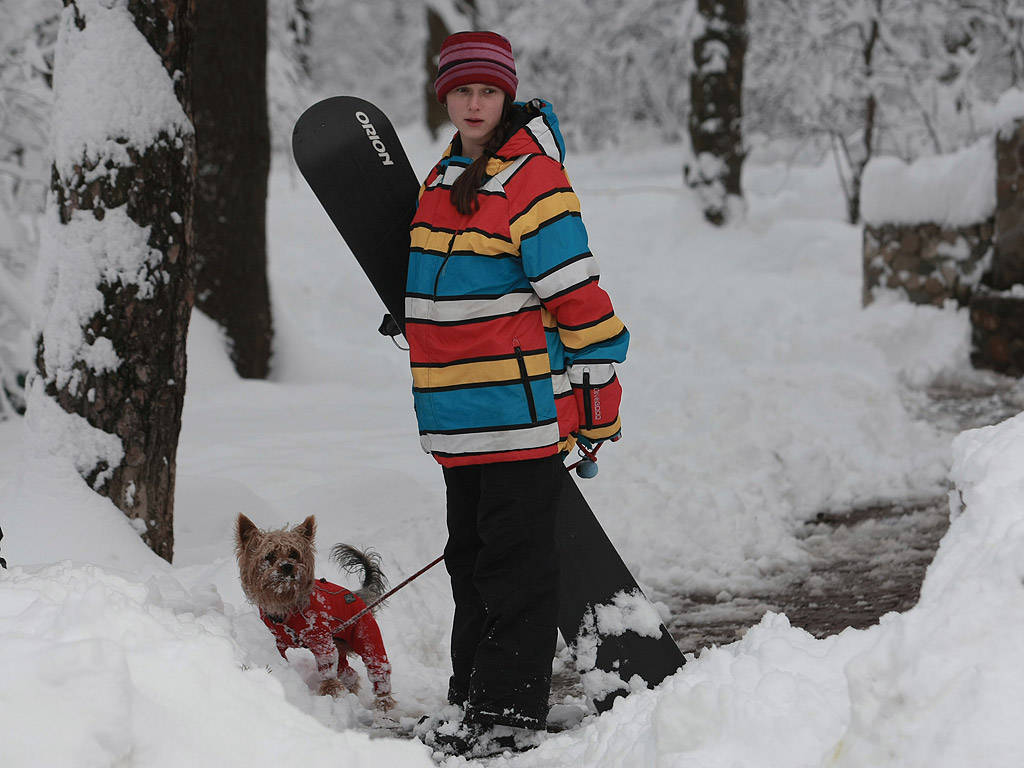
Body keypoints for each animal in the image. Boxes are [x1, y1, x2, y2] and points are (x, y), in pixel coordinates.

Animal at [235, 514, 395, 712]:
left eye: (294, 554)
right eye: (270, 556)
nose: (287, 566)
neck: (286, 606)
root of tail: (358, 596)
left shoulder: (320, 639)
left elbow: (326, 666)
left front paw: (330, 691)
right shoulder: (280, 642)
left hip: (364, 633)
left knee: (378, 667)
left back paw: (383, 704)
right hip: (339, 644)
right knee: (348, 672)